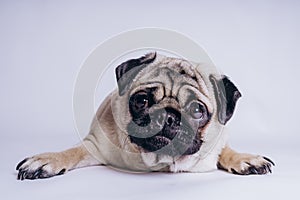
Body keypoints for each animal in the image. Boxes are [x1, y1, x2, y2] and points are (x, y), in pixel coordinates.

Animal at [15, 52, 274, 180]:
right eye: (142, 101)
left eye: (197, 110)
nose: (168, 116)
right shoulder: (95, 144)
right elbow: (72, 152)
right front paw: (48, 159)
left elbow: (225, 150)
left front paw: (246, 159)